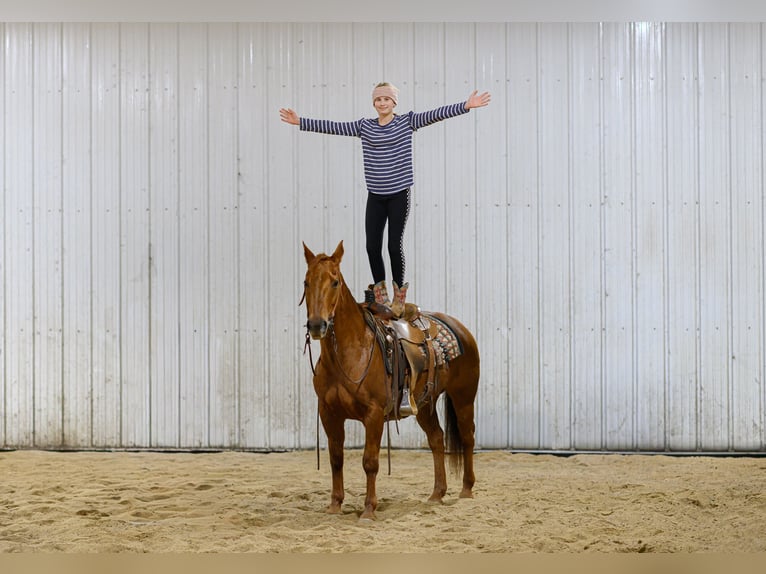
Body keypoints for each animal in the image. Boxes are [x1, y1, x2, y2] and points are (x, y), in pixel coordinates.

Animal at [301, 240, 480, 521]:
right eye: (306, 282)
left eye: (335, 282)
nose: (317, 325)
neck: (352, 351)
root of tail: (460, 328)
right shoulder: (329, 413)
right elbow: (336, 458)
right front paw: (335, 505)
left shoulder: (373, 414)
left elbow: (370, 461)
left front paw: (368, 510)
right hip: (424, 404)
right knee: (437, 439)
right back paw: (437, 494)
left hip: (463, 396)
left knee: (467, 436)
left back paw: (466, 490)